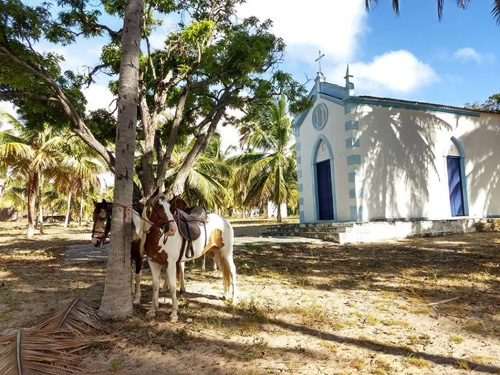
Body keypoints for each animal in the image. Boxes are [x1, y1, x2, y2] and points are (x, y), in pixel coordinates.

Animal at [139, 189, 236, 322]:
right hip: (216, 254)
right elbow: (155, 286)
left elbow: (173, 286)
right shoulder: (153, 263)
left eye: (169, 207)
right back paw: (225, 295)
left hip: (227, 253)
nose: (172, 229)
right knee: (223, 271)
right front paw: (152, 311)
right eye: (159, 206)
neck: (157, 238)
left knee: (232, 271)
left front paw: (174, 313)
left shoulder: (171, 263)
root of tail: (224, 221)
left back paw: (234, 299)